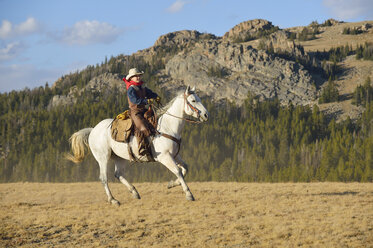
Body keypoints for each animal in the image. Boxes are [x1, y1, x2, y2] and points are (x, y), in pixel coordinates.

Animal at [67, 86, 206, 204]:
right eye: (193, 100)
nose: (206, 115)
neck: (168, 126)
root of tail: (92, 130)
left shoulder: (175, 155)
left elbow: (185, 168)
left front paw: (171, 184)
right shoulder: (165, 157)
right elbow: (178, 171)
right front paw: (189, 194)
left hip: (120, 158)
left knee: (118, 174)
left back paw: (134, 192)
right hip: (103, 158)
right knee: (104, 178)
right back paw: (113, 200)